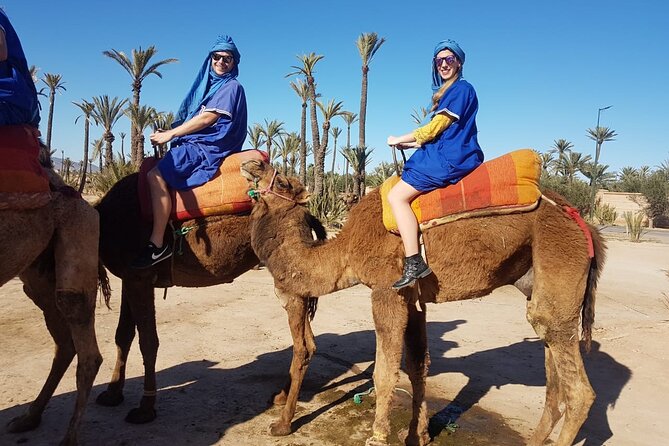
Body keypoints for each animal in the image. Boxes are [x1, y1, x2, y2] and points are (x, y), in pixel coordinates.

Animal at [0, 145, 103, 444]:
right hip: (38, 274)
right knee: (65, 342)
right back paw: (29, 417)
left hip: (77, 230)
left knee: (85, 343)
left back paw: (68, 438)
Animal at [92, 171, 324, 436]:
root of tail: (306, 214)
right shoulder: (130, 278)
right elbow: (123, 335)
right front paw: (111, 394)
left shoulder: (140, 277)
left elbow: (148, 342)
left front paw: (145, 409)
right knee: (309, 343)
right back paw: (281, 397)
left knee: (302, 346)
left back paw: (284, 423)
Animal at [240, 160, 604, 446]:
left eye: (282, 181)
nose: (251, 164)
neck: (345, 252)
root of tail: (585, 225)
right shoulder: (414, 299)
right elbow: (417, 365)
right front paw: (418, 435)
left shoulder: (387, 290)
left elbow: (385, 371)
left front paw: (377, 437)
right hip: (537, 284)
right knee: (551, 361)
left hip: (559, 259)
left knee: (579, 390)